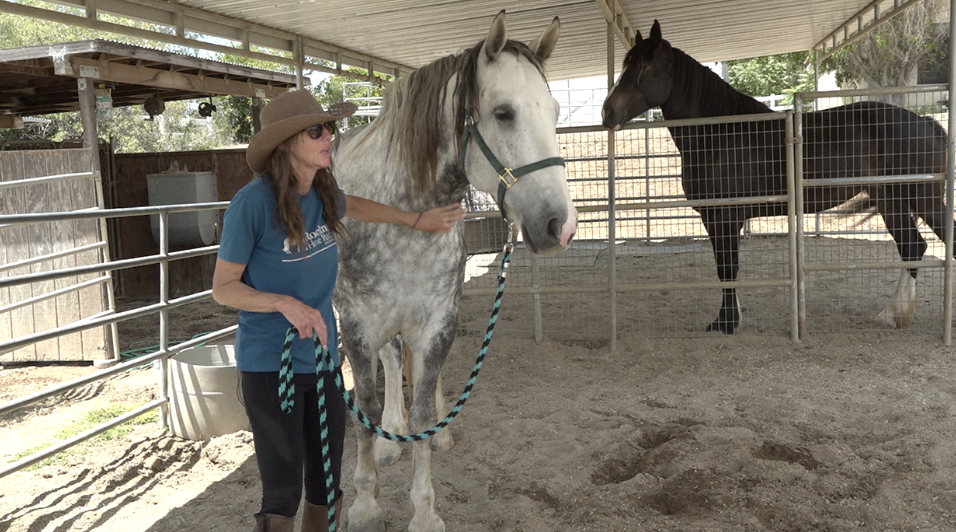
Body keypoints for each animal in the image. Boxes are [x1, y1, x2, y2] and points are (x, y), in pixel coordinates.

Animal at [333, 10, 577, 532]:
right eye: (503, 113)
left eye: (553, 112)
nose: (561, 226)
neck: (402, 213)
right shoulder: (356, 326)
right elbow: (364, 408)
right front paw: (364, 502)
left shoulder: (438, 321)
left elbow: (425, 411)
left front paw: (424, 509)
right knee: (390, 366)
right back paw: (389, 439)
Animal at [602, 20, 950, 334]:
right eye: (628, 63)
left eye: (646, 66)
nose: (607, 112)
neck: (720, 135)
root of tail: (925, 121)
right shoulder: (715, 217)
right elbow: (725, 268)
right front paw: (729, 318)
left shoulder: (723, 216)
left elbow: (727, 267)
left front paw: (726, 323)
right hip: (890, 199)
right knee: (912, 246)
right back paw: (892, 315)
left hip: (922, 198)